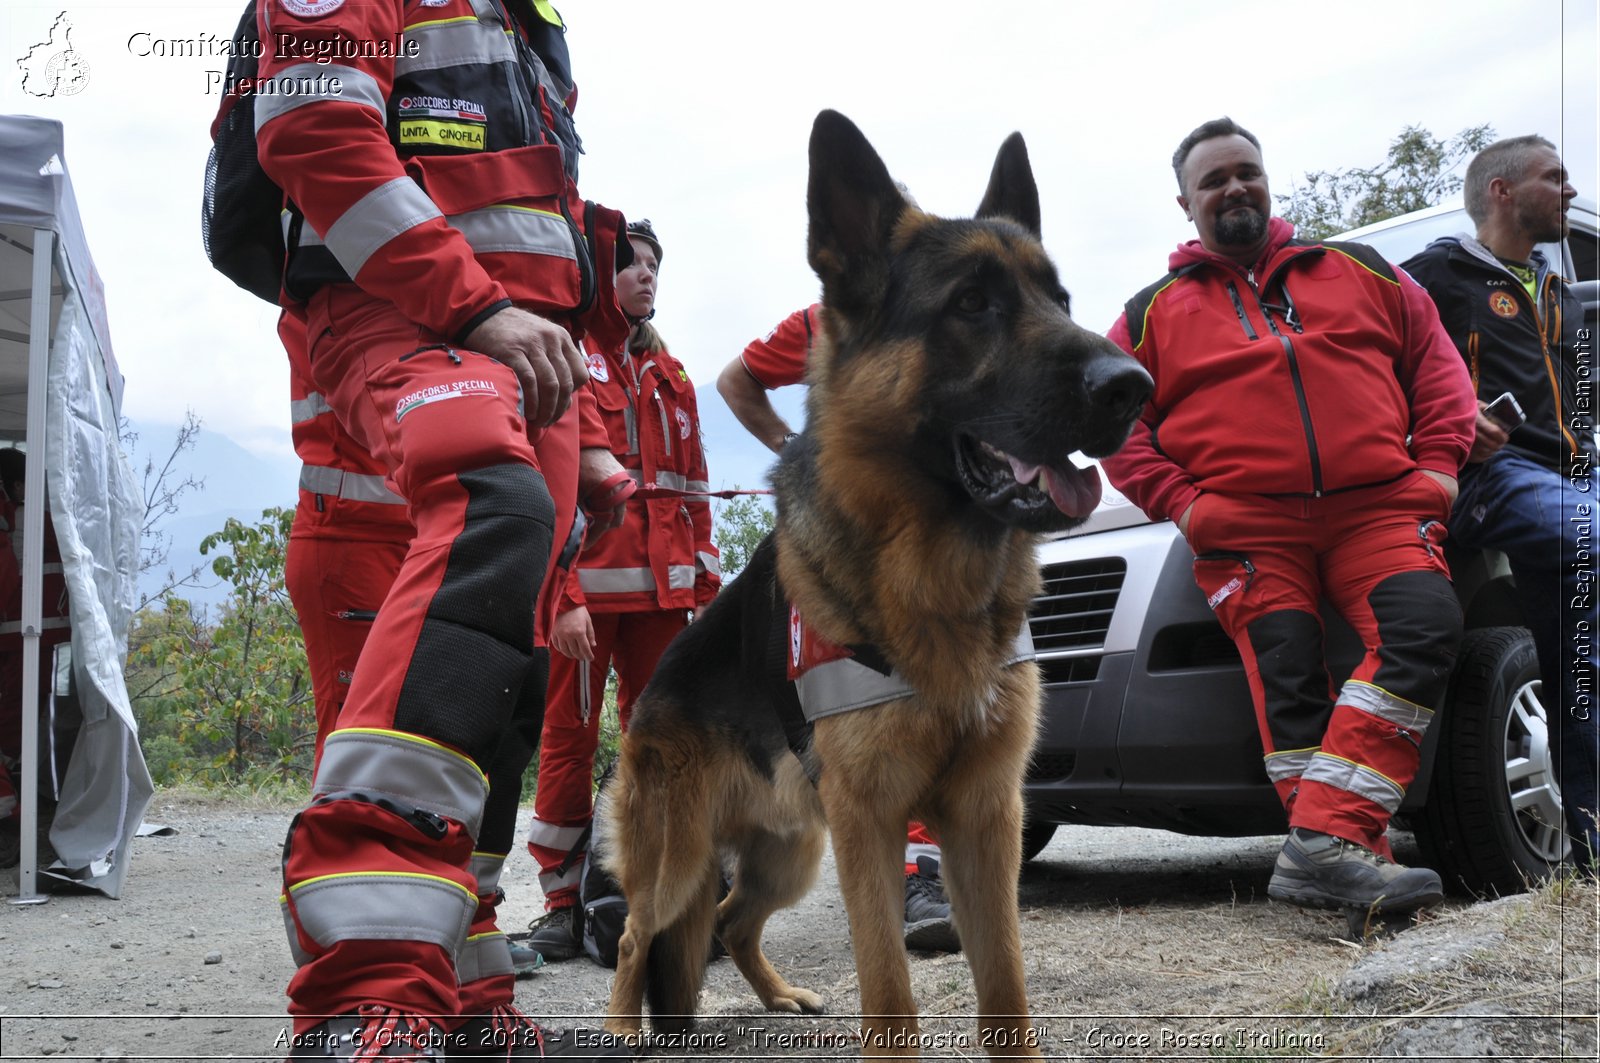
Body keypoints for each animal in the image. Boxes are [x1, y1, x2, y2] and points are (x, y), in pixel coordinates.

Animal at [601, 112, 1152, 1056]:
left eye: (1062, 300)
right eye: (972, 303)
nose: (1134, 385)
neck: (934, 580)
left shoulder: (983, 817)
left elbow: (1005, 989)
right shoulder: (871, 824)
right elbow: (890, 999)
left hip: (789, 854)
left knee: (733, 919)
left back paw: (782, 994)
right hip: (679, 858)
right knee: (641, 935)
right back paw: (624, 1027)